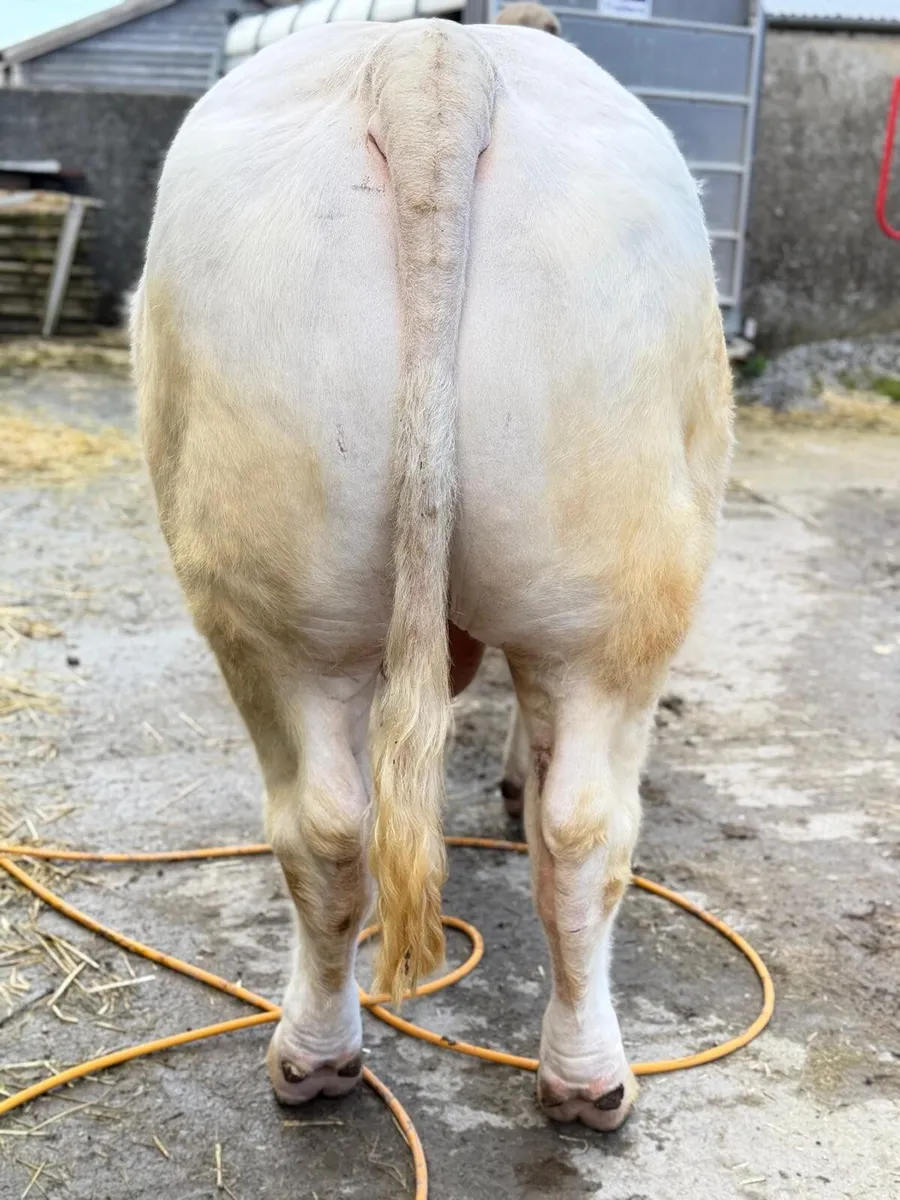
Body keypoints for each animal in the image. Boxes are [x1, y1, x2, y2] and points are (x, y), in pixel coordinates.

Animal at [132, 19, 733, 1131]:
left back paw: (326, 1059)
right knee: (583, 828)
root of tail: (428, 61)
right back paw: (582, 1079)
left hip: (286, 600)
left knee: (338, 827)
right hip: (616, 606)